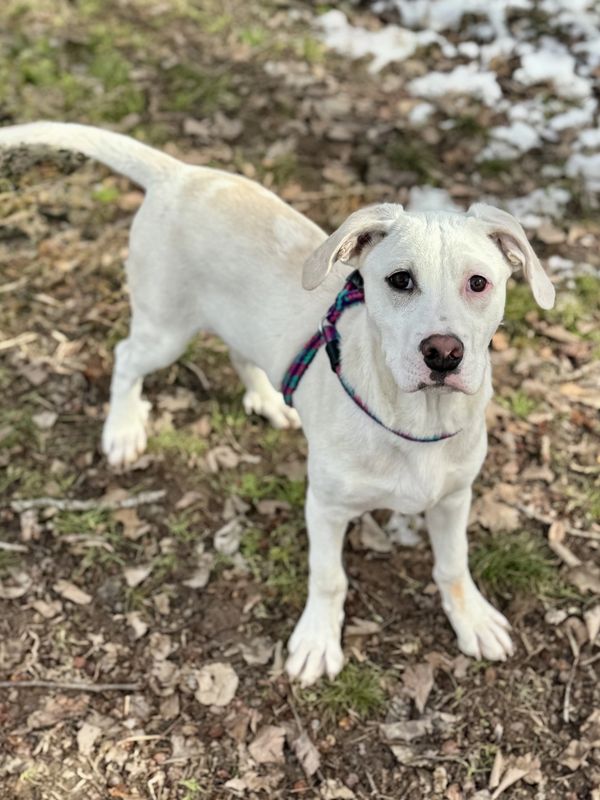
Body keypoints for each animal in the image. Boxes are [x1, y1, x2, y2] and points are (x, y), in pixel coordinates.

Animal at [0, 122, 555, 686]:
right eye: (400, 280)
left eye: (479, 283)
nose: (443, 353)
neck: (418, 421)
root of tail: (180, 172)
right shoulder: (326, 507)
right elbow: (330, 578)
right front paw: (317, 642)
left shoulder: (453, 498)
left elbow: (453, 565)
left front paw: (471, 619)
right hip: (165, 329)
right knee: (126, 357)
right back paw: (123, 428)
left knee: (239, 352)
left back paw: (269, 400)